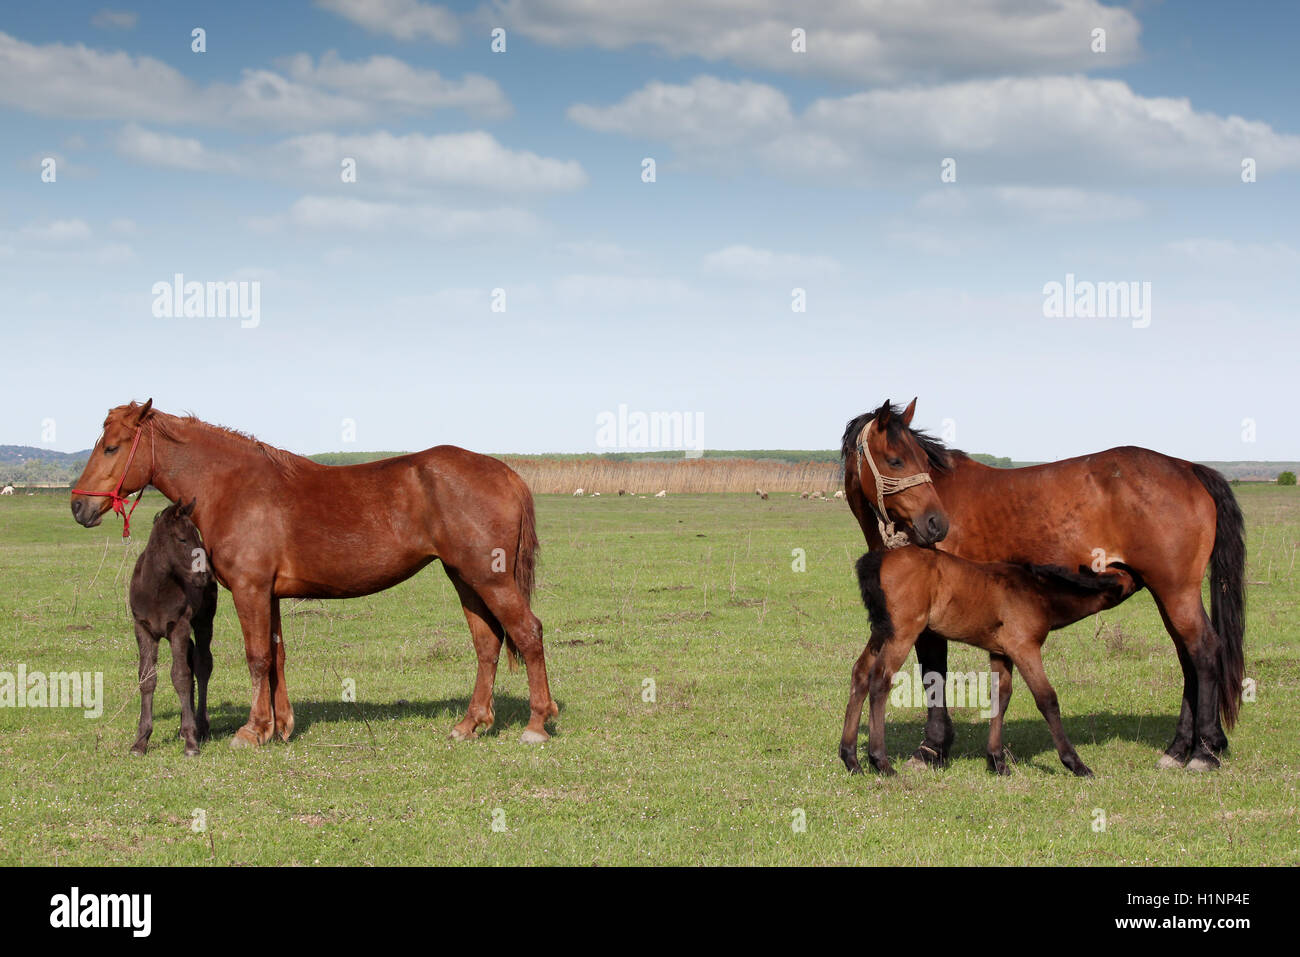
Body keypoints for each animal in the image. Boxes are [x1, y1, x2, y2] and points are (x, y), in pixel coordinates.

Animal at [128, 501, 215, 754]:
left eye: (198, 537)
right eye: (182, 539)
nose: (205, 576)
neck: (155, 589)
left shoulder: (179, 627)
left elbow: (180, 676)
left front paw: (191, 742)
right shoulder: (143, 629)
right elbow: (147, 677)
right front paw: (140, 741)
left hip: (203, 621)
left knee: (202, 665)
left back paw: (200, 726)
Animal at [842, 546, 1138, 780]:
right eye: (1130, 577)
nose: (1144, 578)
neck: (1038, 592)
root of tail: (878, 558)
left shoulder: (1001, 653)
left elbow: (1000, 696)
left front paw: (997, 761)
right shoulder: (1024, 647)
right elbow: (1047, 698)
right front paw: (1075, 764)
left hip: (881, 632)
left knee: (860, 674)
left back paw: (850, 759)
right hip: (902, 632)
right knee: (880, 680)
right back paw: (880, 761)